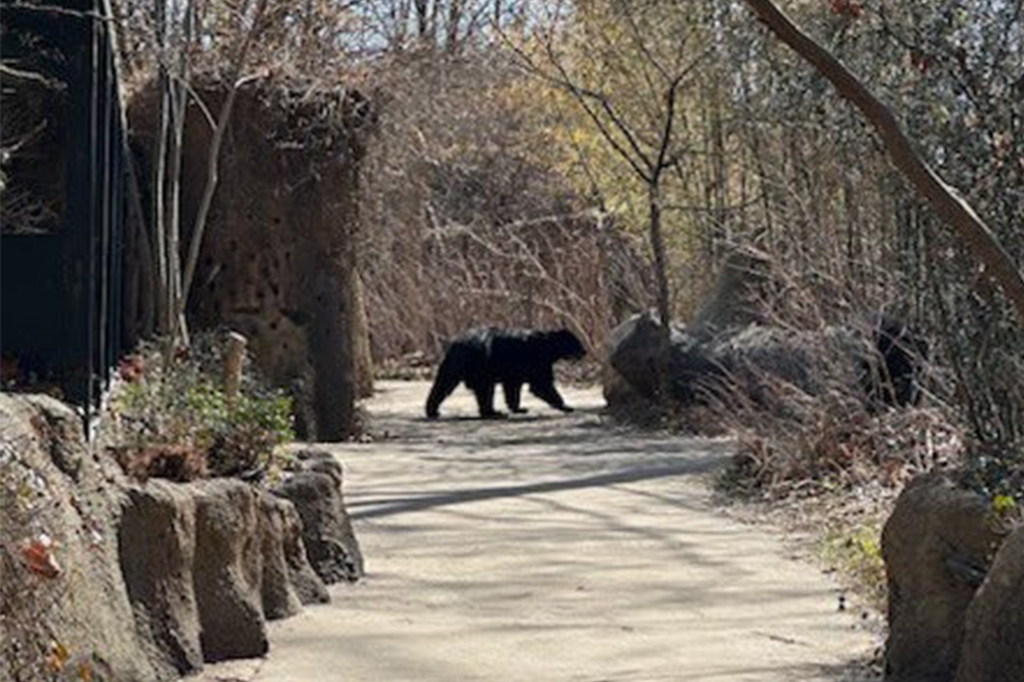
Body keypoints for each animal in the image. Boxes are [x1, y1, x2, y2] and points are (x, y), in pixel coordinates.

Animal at [423, 327, 585, 417]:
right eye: (576, 343)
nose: (585, 351)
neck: (548, 346)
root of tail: (454, 344)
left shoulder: (515, 370)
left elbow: (512, 387)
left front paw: (518, 408)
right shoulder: (537, 361)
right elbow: (541, 384)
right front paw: (566, 406)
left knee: (447, 383)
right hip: (477, 365)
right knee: (478, 389)